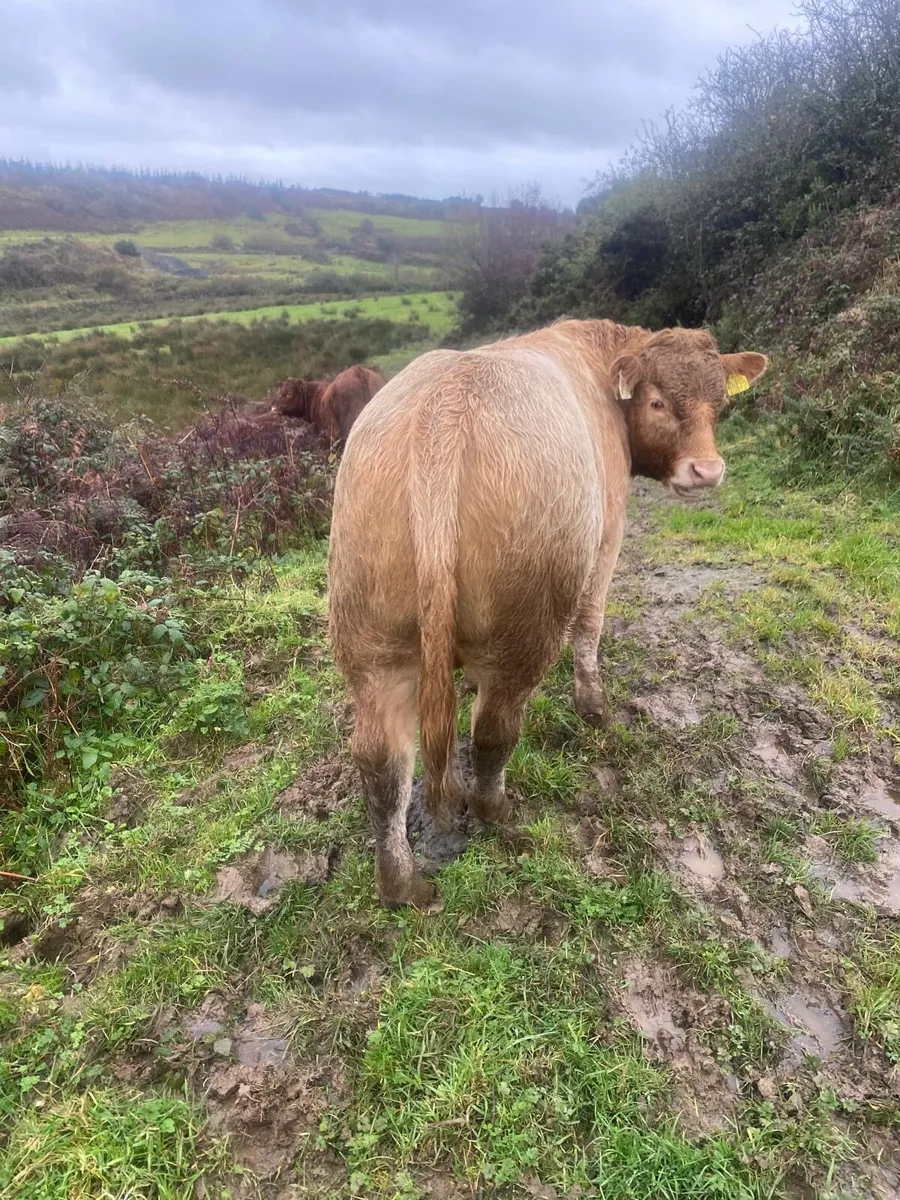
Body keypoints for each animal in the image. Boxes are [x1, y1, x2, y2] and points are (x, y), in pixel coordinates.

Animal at [328, 319, 767, 908]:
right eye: (657, 401)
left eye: (720, 402)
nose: (707, 470)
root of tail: (445, 402)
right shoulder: (607, 535)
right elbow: (590, 624)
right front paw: (595, 706)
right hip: (526, 626)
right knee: (493, 730)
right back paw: (497, 813)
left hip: (372, 643)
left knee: (383, 762)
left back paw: (404, 886)